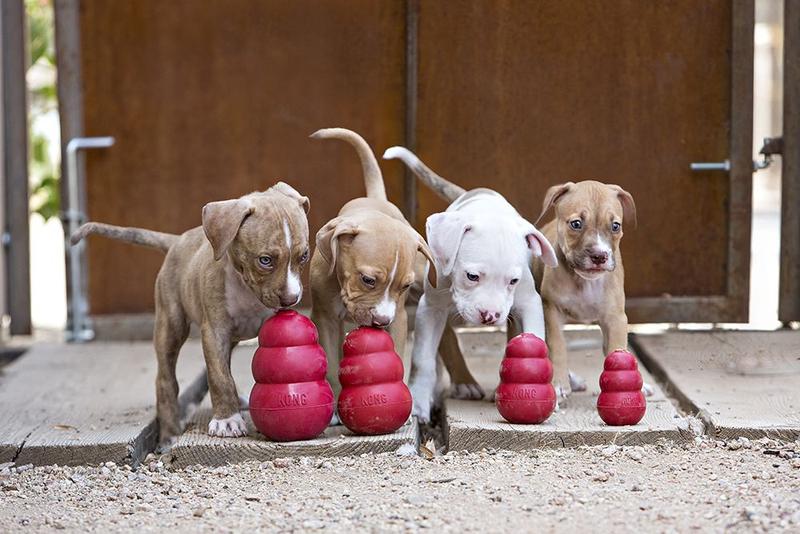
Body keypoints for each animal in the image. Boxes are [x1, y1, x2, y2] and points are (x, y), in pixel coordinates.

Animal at [70, 183, 310, 444]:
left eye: (304, 256)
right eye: (265, 260)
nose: (291, 299)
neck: (246, 289)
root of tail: (178, 240)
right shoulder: (214, 332)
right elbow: (219, 377)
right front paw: (227, 420)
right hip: (171, 325)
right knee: (166, 380)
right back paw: (170, 433)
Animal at [310, 130, 438, 406]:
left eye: (405, 286)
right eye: (367, 280)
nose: (381, 320)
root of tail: (376, 199)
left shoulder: (399, 318)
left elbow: (397, 354)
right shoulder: (325, 319)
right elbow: (331, 364)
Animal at [382, 147, 556, 422]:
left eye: (513, 281)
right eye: (471, 276)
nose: (490, 315)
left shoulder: (529, 302)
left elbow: (534, 339)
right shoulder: (430, 308)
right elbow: (423, 359)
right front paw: (418, 404)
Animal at [536, 180, 640, 398]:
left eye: (615, 226)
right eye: (576, 224)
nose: (599, 256)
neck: (585, 282)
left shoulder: (615, 318)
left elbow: (617, 350)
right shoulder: (551, 311)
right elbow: (557, 345)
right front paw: (559, 384)